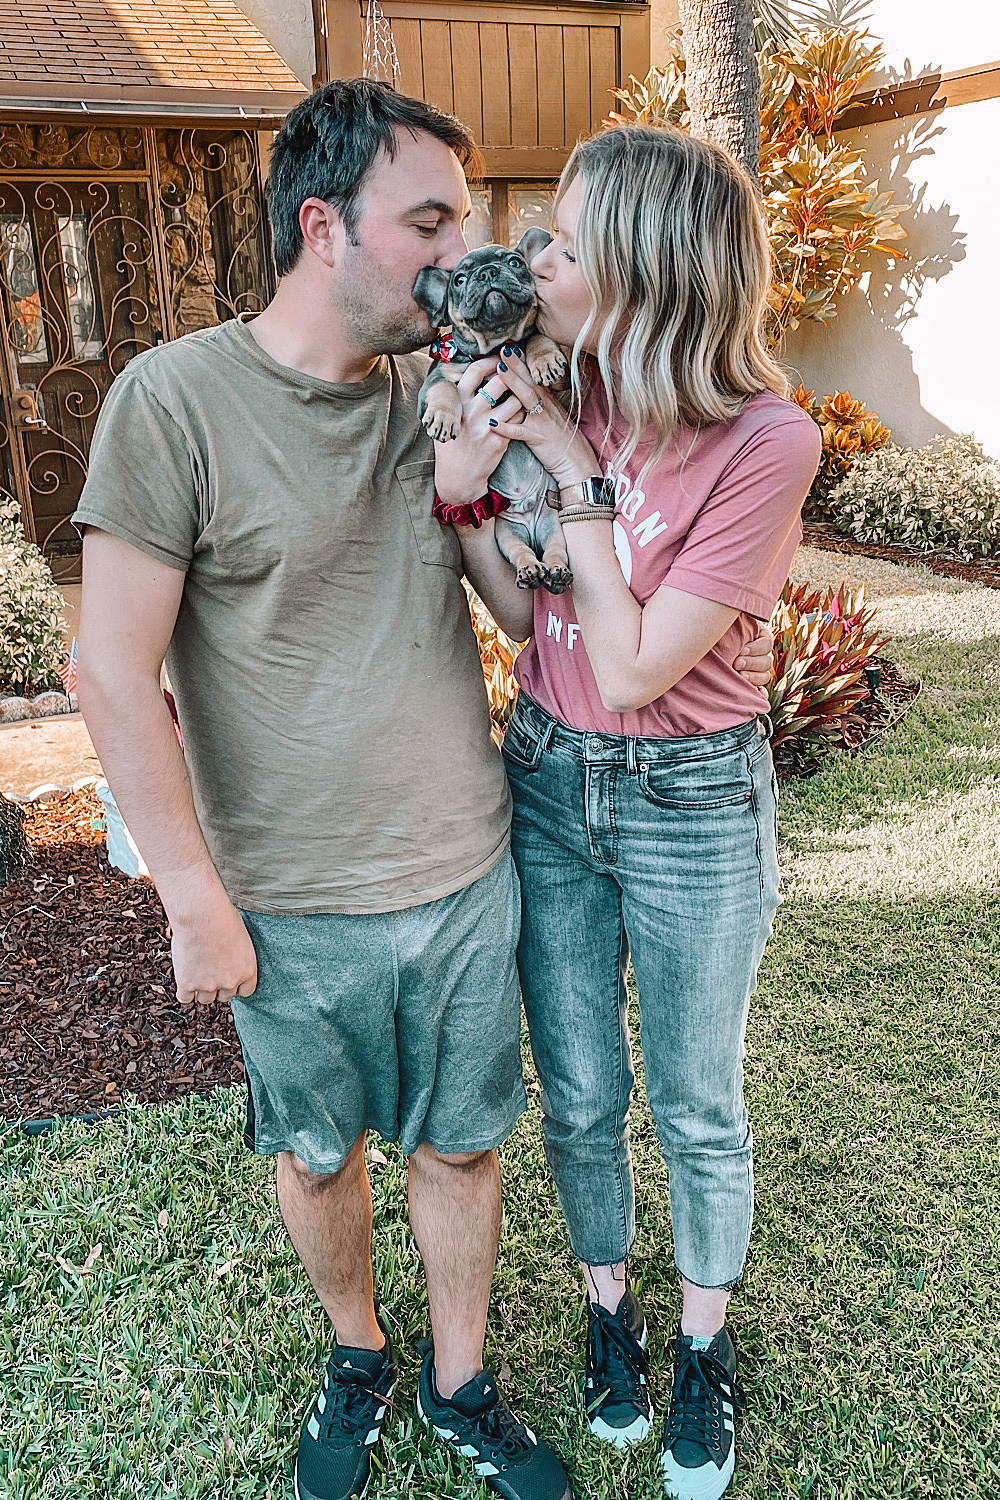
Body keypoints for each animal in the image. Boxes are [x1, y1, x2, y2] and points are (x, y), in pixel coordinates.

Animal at [413, 231, 572, 593]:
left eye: (515, 262)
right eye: (459, 279)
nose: (487, 272)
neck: (497, 347)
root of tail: (528, 514)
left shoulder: (563, 385)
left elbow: (535, 338)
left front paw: (544, 359)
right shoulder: (431, 384)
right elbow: (444, 389)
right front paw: (443, 417)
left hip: (554, 525)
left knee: (555, 549)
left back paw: (556, 572)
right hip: (505, 533)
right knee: (521, 552)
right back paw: (531, 570)